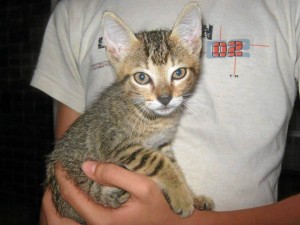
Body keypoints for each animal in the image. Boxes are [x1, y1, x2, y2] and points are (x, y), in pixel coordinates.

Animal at [45, 3, 213, 223]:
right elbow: (160, 163)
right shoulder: (118, 144)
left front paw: (191, 195)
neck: (154, 119)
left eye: (179, 73)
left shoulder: (163, 144)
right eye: (142, 77)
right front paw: (182, 196)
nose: (165, 98)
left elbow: (174, 165)